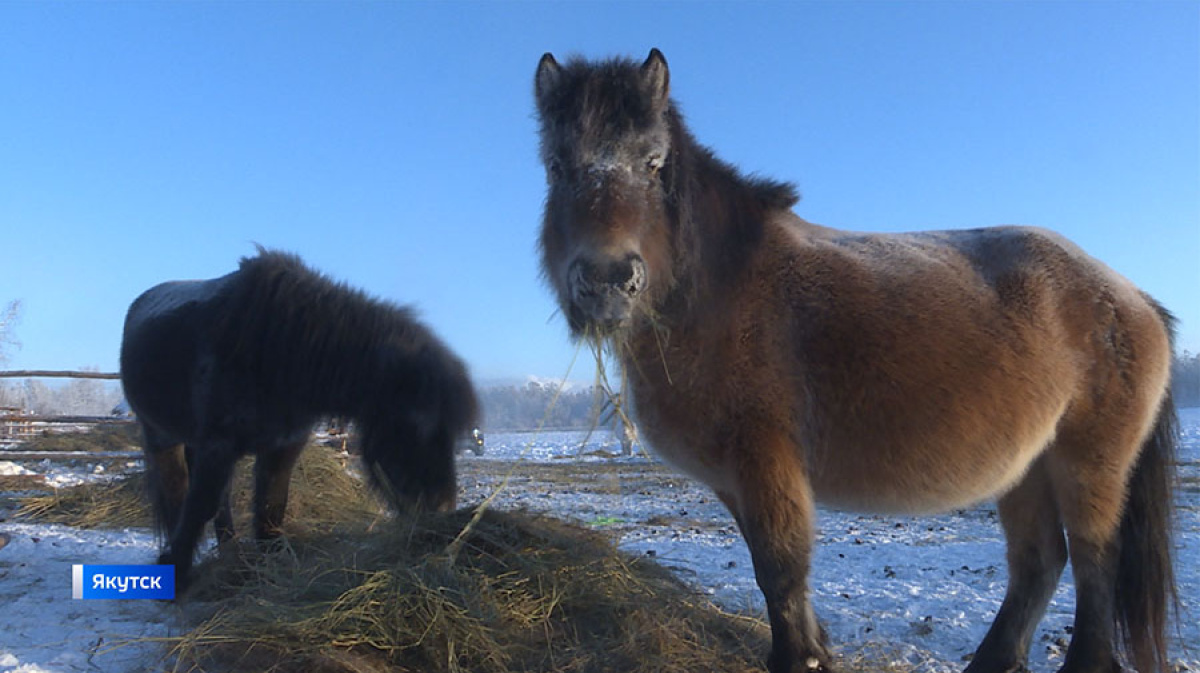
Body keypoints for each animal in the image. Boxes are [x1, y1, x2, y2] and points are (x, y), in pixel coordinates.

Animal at [120, 248, 477, 587]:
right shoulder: (218, 445)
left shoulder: (283, 446)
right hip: (162, 437)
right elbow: (199, 505)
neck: (282, 350)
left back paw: (231, 553)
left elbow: (271, 506)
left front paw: (271, 563)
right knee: (177, 492)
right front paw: (177, 571)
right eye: (414, 424)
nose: (441, 509)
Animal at [535, 51, 1171, 671]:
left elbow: (781, 569)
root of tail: (1133, 299)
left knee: (1094, 559)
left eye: (653, 162)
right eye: (558, 166)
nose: (608, 281)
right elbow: (774, 572)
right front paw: (816, 650)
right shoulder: (734, 481)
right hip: (1026, 467)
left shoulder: (765, 462)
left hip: (1089, 463)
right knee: (1039, 560)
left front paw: (797, 660)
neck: (722, 291)